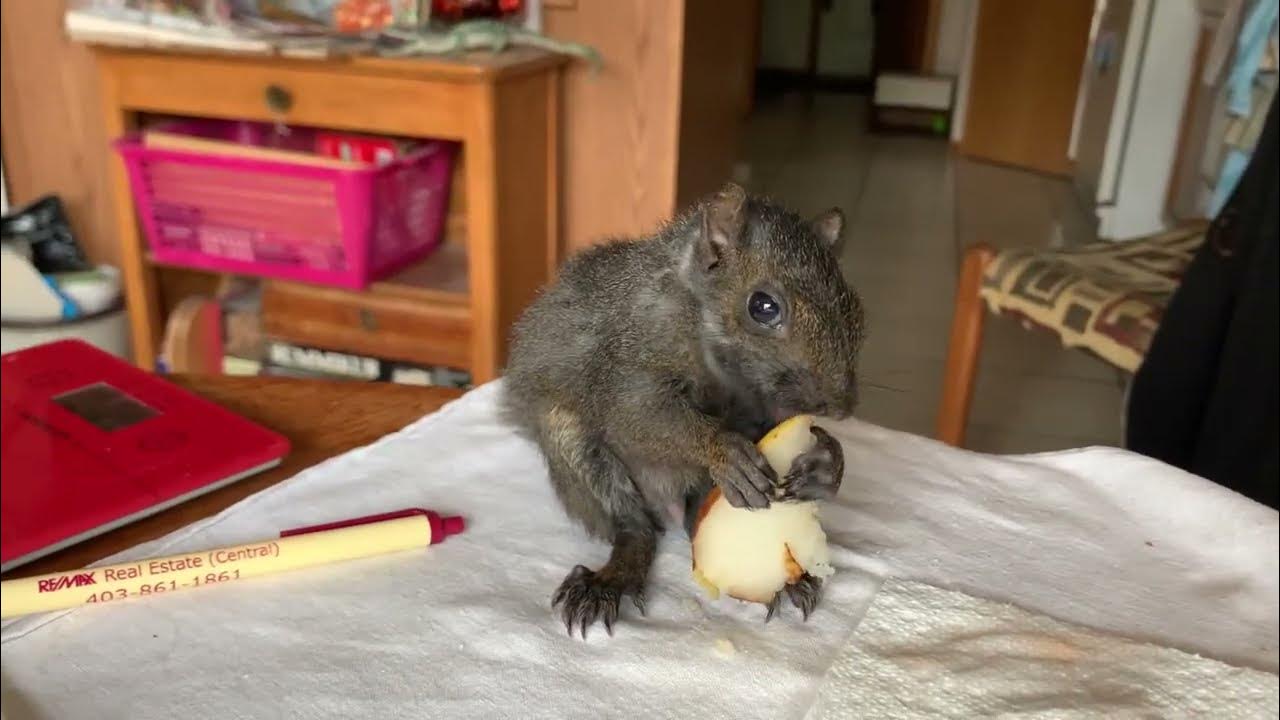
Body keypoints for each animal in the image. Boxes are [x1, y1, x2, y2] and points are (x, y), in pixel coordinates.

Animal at [503, 182, 864, 638]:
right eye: (763, 306)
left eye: (855, 309)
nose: (841, 407)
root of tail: (668, 506)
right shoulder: (628, 359)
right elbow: (638, 416)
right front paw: (723, 450)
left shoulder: (763, 406)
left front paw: (826, 461)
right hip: (575, 451)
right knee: (634, 526)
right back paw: (612, 577)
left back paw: (790, 580)